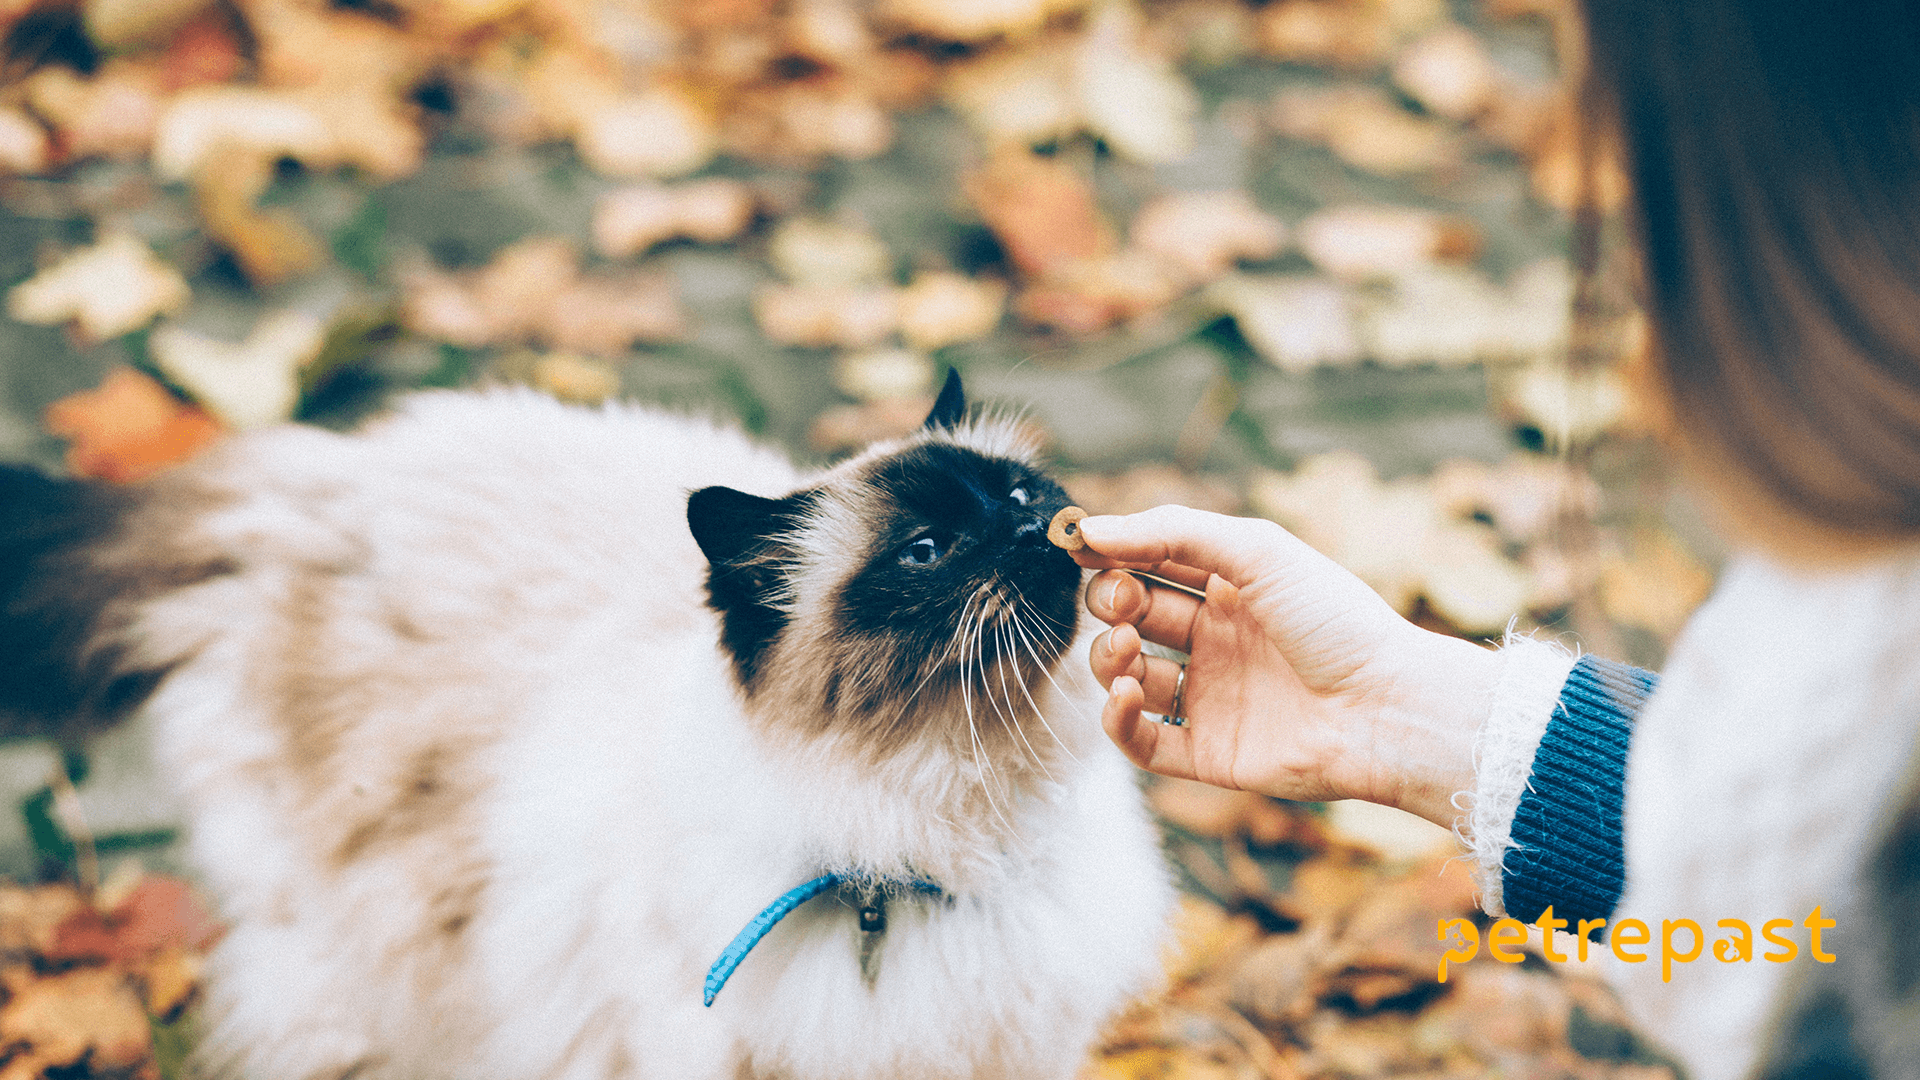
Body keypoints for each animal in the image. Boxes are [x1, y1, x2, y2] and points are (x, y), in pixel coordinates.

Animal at [0, 372, 1167, 1076]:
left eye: (1020, 497)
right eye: (927, 552)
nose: (1037, 530)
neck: (948, 841)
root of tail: (314, 479)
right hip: (377, 961)